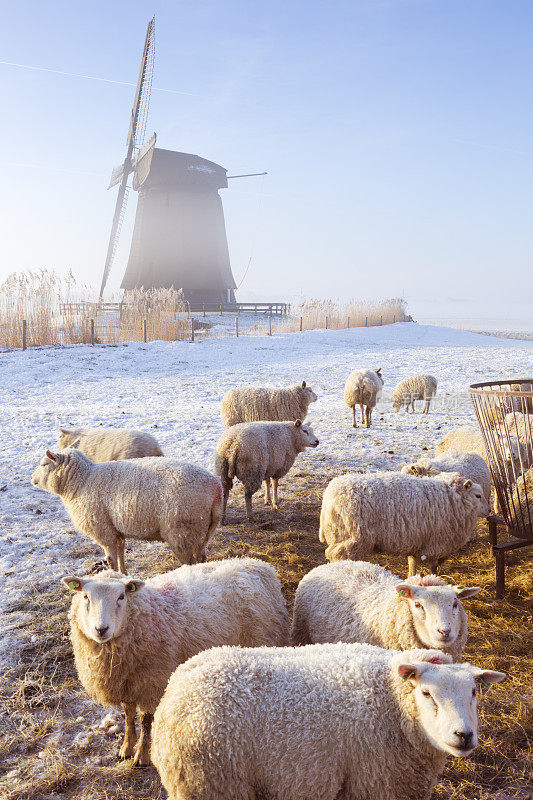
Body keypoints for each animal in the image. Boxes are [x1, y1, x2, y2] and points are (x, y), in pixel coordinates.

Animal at [31, 446, 222, 572]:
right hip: (204, 531)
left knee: (190, 561)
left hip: (183, 531)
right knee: (202, 558)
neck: (81, 481)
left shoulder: (104, 531)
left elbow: (110, 560)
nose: (31, 479)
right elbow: (121, 554)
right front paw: (123, 574)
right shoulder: (116, 531)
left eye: (44, 464)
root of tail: (215, 487)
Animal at [60, 556, 288, 768]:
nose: (101, 629)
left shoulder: (151, 682)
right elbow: (128, 716)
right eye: (85, 596)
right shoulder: (126, 682)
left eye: (121, 596)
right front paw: (126, 748)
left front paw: (141, 756)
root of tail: (259, 565)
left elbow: (146, 721)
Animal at [318, 468, 488, 576]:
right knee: (339, 555)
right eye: (478, 495)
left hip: (339, 535)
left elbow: (412, 563)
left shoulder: (417, 541)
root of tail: (329, 497)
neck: (452, 498)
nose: (489, 511)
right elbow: (433, 566)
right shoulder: (435, 543)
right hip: (351, 538)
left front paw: (411, 577)